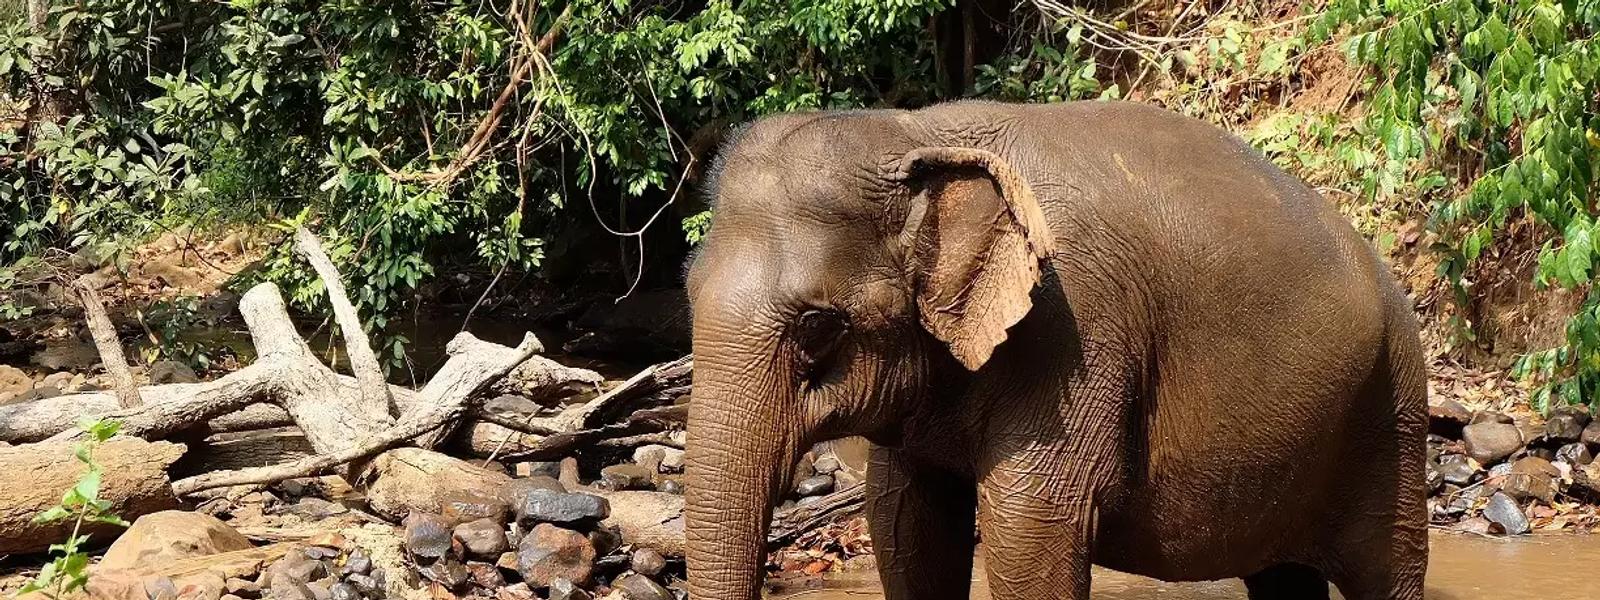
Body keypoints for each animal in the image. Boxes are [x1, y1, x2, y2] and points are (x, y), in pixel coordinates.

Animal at [680, 100, 1428, 600]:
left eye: (817, 328)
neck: (920, 133)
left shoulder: (1074, 337)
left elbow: (1028, 528)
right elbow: (906, 520)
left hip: (1392, 416)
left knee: (1386, 570)